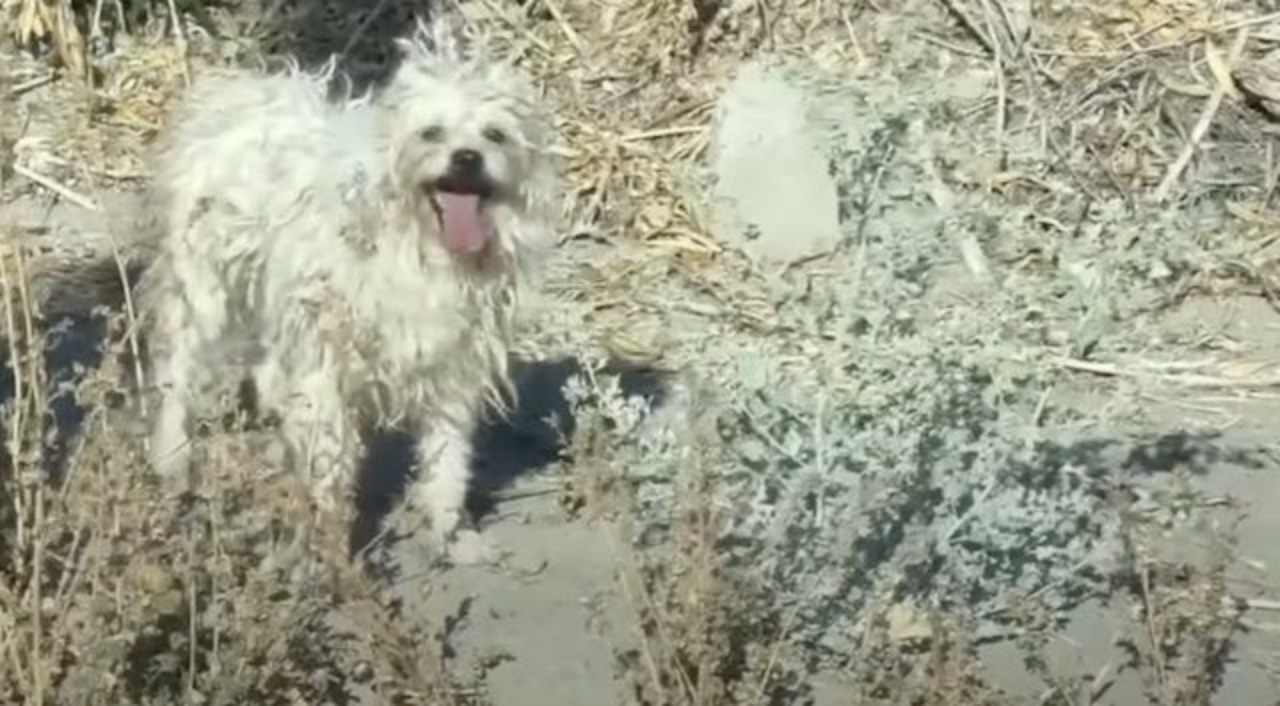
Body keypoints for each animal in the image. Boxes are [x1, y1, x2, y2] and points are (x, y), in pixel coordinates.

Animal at [137, 17, 563, 557]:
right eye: (432, 133)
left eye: (495, 135)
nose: (466, 157)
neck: (423, 247)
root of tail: (244, 94)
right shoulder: (328, 358)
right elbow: (330, 454)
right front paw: (329, 543)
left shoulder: (454, 363)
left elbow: (448, 456)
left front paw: (450, 531)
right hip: (205, 290)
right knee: (181, 371)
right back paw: (173, 457)